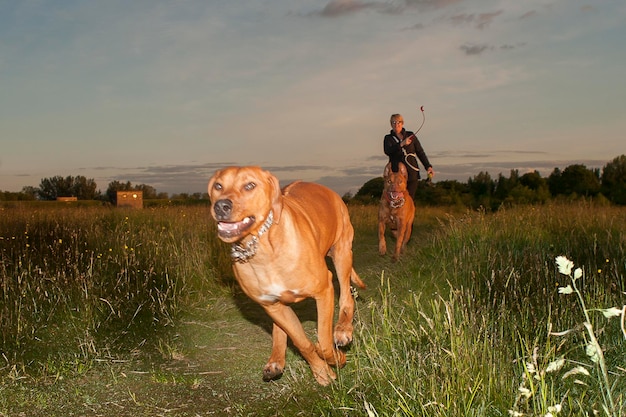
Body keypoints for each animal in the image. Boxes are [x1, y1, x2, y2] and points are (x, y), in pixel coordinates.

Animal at [210, 165, 366, 384]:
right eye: (218, 186)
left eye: (250, 185)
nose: (220, 206)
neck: (262, 249)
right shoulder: (272, 305)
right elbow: (303, 343)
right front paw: (322, 372)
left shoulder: (324, 290)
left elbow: (323, 341)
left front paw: (336, 358)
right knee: (280, 329)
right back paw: (276, 360)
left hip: (342, 252)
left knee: (346, 297)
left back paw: (343, 330)